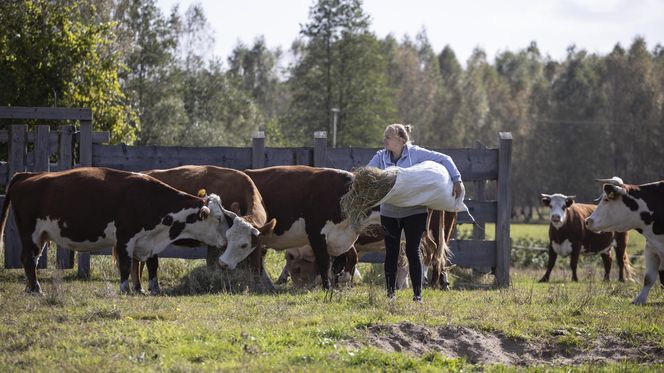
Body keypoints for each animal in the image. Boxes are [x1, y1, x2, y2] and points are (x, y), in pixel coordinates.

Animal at [0, 166, 239, 294]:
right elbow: (126, 264)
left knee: (30, 260)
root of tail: (28, 175)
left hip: (40, 236)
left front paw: (149, 289)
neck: (149, 200)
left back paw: (31, 287)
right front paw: (125, 289)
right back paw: (36, 289)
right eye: (218, 218)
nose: (228, 238)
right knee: (28, 259)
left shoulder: (148, 241)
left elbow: (150, 265)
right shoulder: (125, 237)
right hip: (30, 233)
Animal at [132, 166, 278, 294]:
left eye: (244, 245)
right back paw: (148, 287)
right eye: (229, 237)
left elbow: (257, 261)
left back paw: (138, 287)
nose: (223, 263)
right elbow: (211, 262)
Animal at [219, 164, 378, 290]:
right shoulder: (317, 235)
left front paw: (344, 283)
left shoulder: (339, 237)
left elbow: (352, 257)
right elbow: (324, 262)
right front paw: (328, 287)